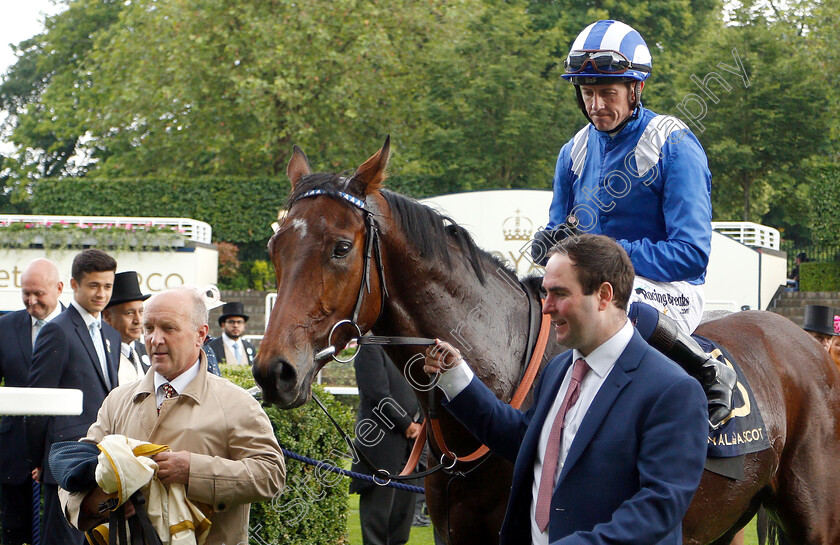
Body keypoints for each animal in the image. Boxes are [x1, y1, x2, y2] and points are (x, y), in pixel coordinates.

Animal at [253, 137, 840, 544]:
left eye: (340, 246)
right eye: (276, 246)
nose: (274, 370)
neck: (505, 369)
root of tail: (807, 346)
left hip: (814, 519)